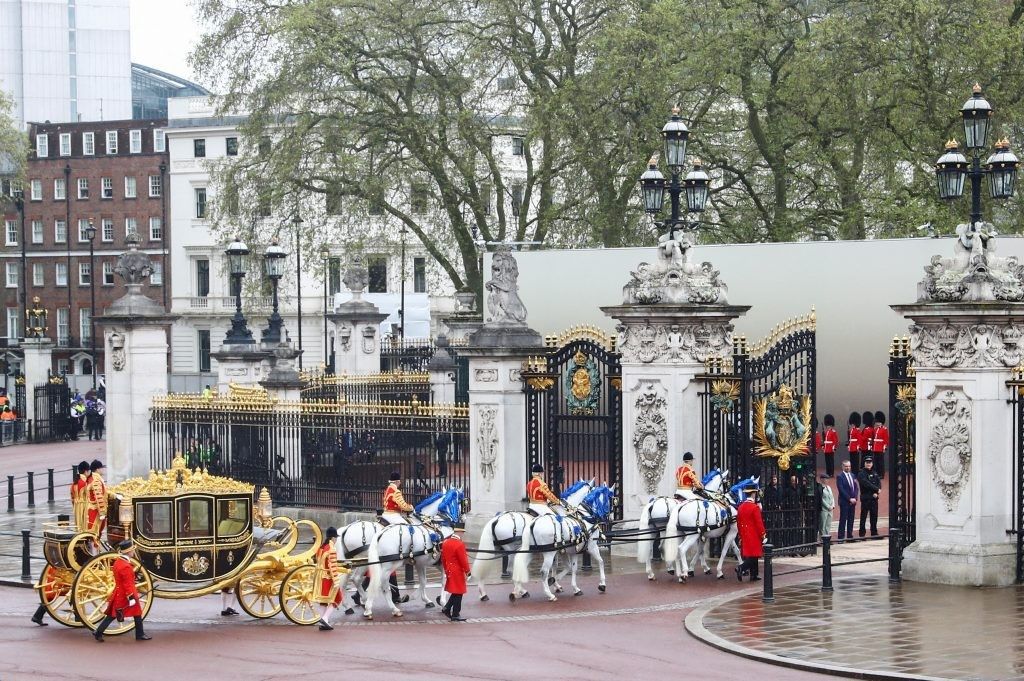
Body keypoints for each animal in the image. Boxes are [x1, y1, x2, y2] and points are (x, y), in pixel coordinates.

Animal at [362, 485, 462, 618]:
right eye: (460, 501)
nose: (460, 519)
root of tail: (381, 533)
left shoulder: (423, 563)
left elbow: (424, 581)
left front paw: (426, 599)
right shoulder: (440, 562)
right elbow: (444, 579)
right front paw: (442, 601)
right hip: (389, 566)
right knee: (381, 583)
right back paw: (389, 608)